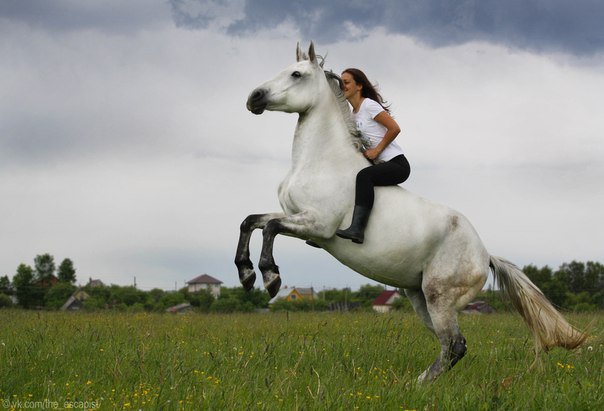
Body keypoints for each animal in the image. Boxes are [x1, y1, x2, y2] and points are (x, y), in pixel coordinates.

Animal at [236, 42, 584, 384]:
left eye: (296, 74)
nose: (254, 98)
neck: (321, 161)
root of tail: (484, 255)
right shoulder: (298, 219)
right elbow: (251, 222)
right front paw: (246, 274)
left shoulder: (318, 225)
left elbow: (271, 227)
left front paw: (270, 278)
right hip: (419, 297)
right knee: (449, 344)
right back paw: (420, 384)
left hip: (439, 296)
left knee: (454, 344)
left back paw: (417, 385)